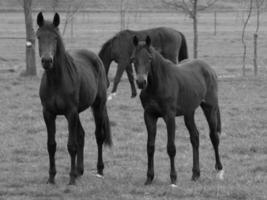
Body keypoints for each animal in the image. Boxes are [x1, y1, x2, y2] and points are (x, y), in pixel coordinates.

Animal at [36, 12, 112, 184]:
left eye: (55, 37)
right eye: (38, 37)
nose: (47, 61)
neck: (56, 81)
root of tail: (96, 58)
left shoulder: (70, 113)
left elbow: (71, 145)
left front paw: (71, 178)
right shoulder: (48, 114)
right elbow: (51, 145)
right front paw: (52, 177)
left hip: (97, 106)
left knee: (99, 136)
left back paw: (99, 170)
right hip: (78, 113)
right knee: (82, 135)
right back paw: (79, 170)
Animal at [132, 34, 224, 186]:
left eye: (149, 58)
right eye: (133, 59)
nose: (140, 82)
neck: (157, 85)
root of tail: (209, 69)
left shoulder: (169, 116)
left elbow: (171, 148)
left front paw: (173, 178)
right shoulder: (149, 116)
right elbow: (150, 147)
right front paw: (149, 178)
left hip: (210, 108)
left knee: (214, 137)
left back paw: (219, 169)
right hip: (189, 113)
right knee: (195, 137)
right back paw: (195, 174)